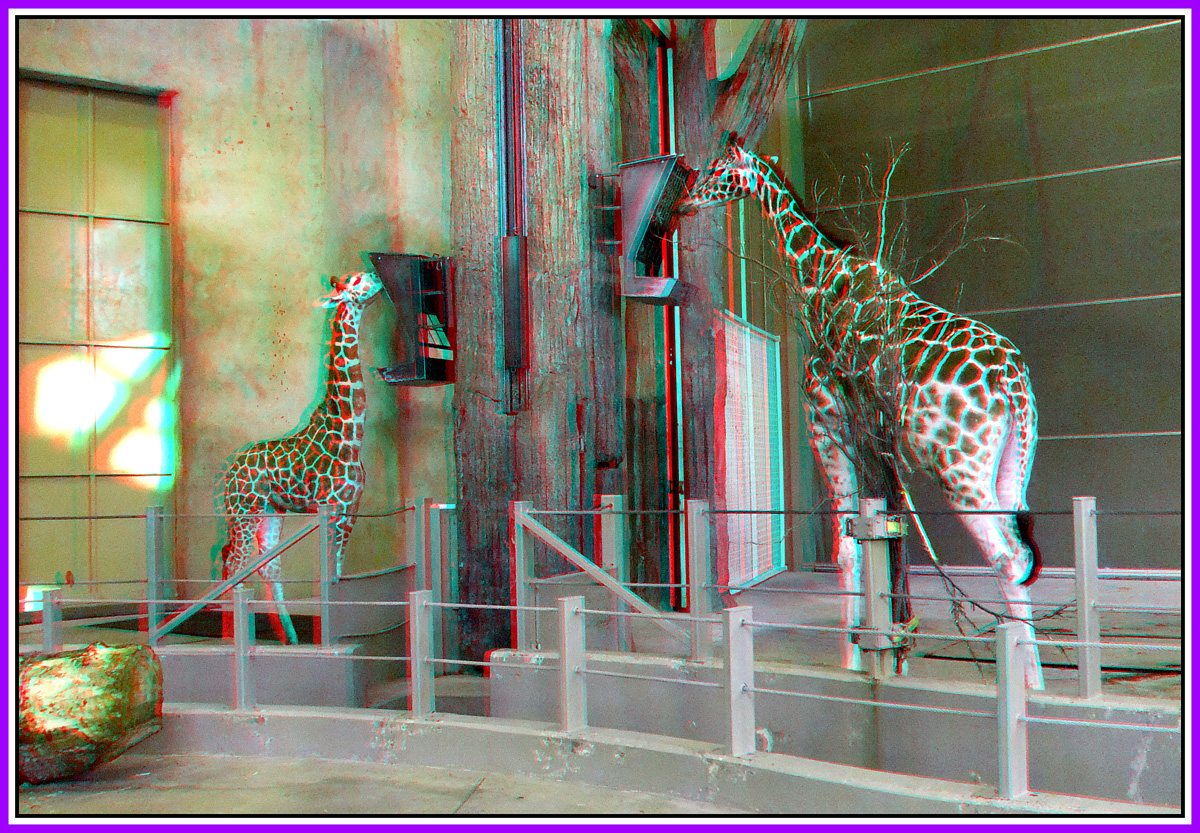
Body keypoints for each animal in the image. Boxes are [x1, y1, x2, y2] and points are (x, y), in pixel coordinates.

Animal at [217, 271, 382, 644]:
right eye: (354, 280)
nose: (376, 276)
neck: (350, 432)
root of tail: (229, 467)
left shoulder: (352, 508)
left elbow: (338, 571)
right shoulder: (332, 508)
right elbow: (329, 574)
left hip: (270, 512)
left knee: (265, 564)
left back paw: (287, 639)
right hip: (243, 512)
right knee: (234, 565)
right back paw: (232, 641)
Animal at [677, 135, 1045, 688]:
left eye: (718, 169)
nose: (680, 203)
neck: (819, 280)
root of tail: (1014, 384)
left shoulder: (830, 424)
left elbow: (849, 547)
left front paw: (854, 662)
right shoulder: (879, 441)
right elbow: (886, 538)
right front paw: (890, 653)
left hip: (959, 469)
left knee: (1006, 558)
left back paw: (1024, 684)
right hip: (1009, 466)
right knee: (1021, 557)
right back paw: (1034, 681)